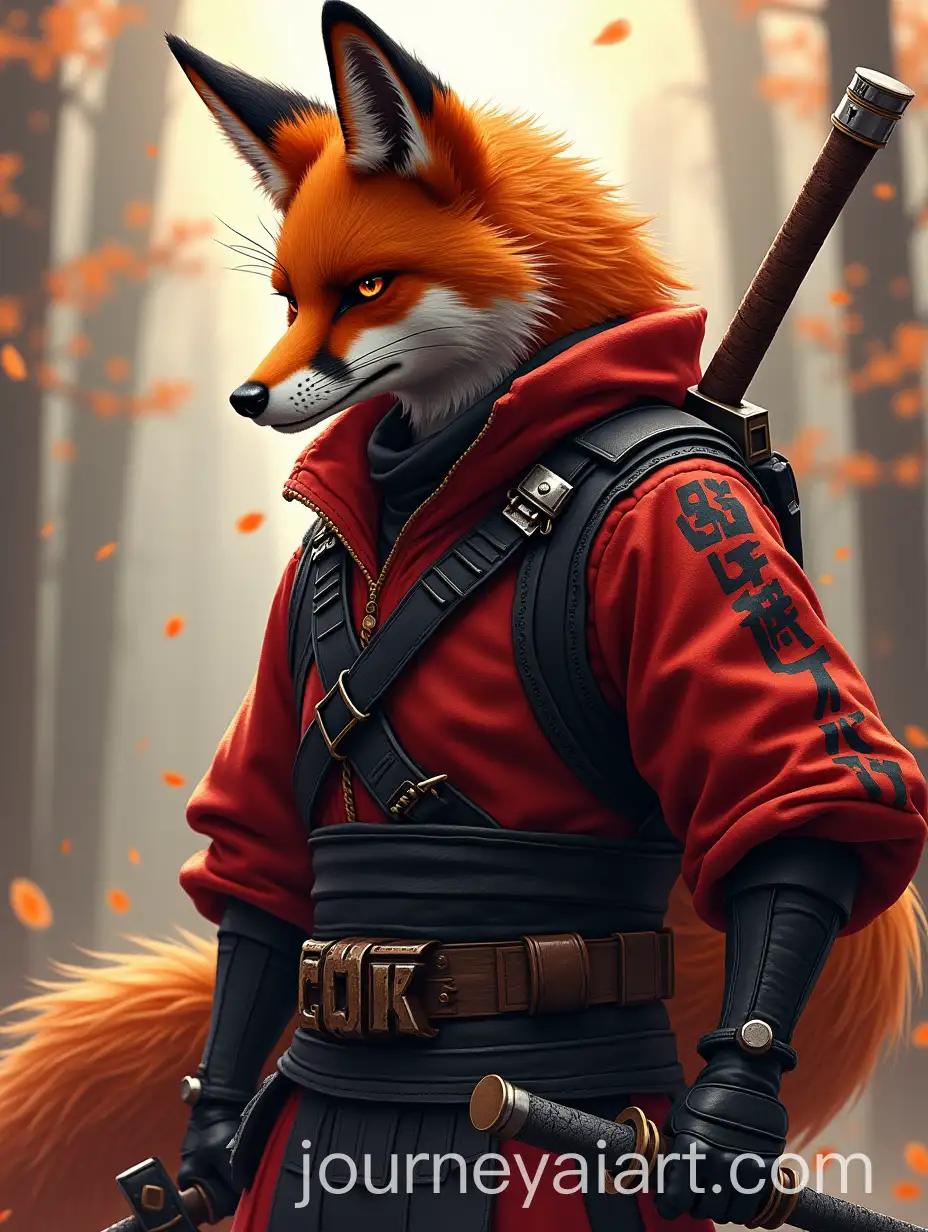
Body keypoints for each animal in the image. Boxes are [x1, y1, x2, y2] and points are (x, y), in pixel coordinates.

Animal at [1, 4, 925, 1231]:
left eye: (370, 287)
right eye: (289, 296)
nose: (246, 397)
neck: (447, 475)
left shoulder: (691, 503)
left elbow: (796, 801)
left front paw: (717, 1134)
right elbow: (259, 870)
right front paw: (207, 1145)